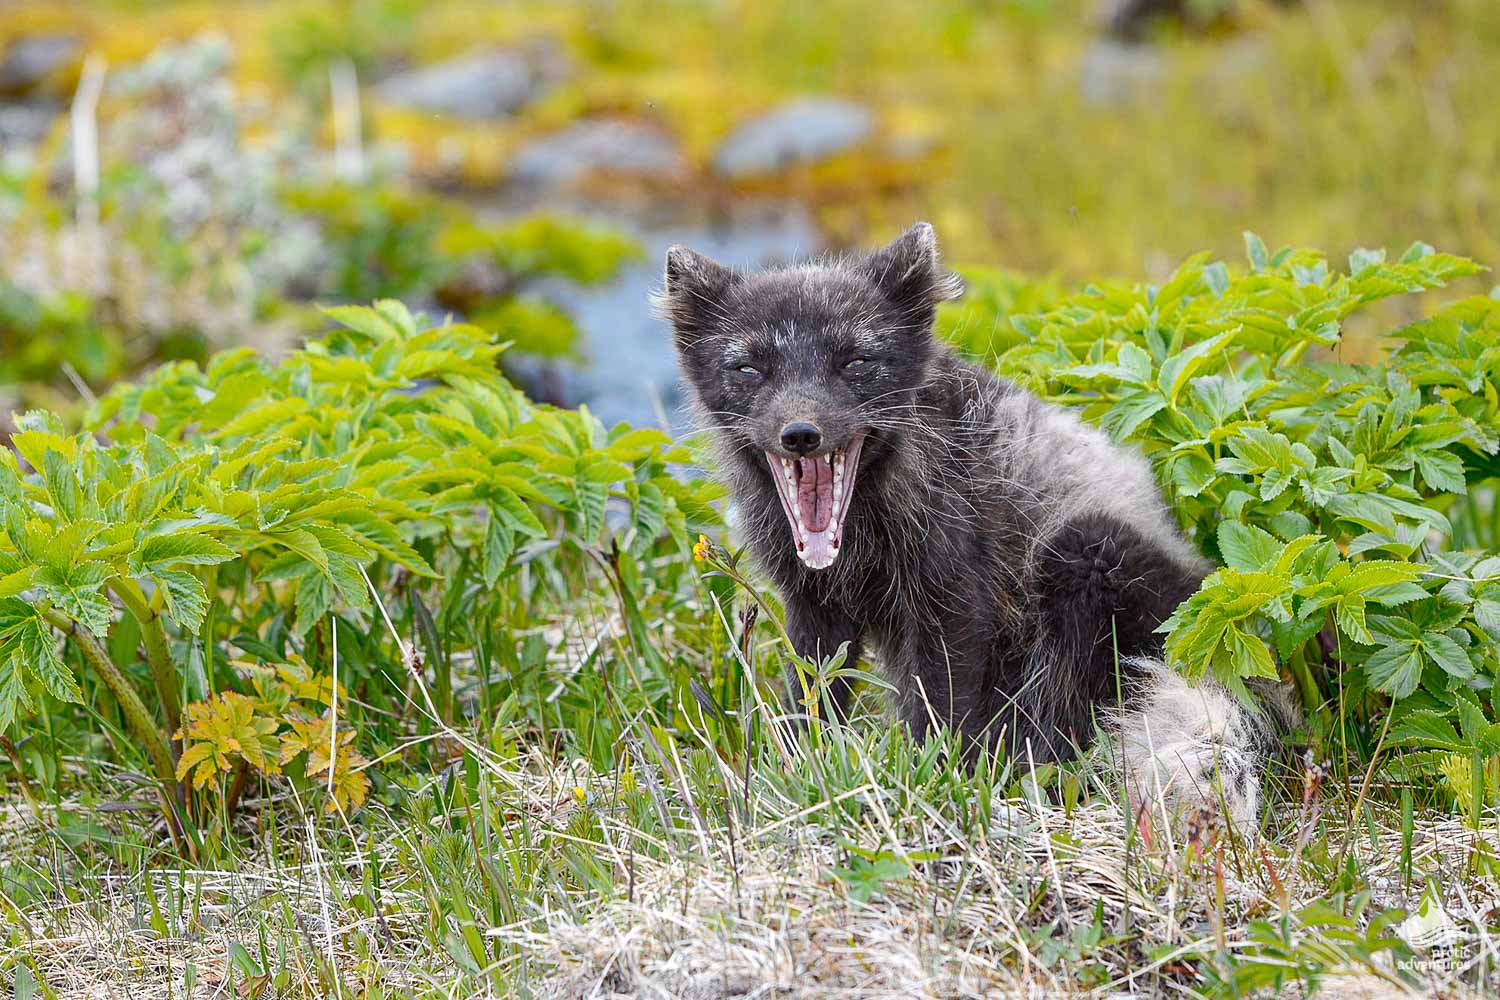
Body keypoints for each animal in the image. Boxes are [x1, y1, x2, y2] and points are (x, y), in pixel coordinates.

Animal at [663, 223, 1284, 833]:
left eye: (855, 361)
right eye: (748, 368)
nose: (800, 433)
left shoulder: (953, 597)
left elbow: (942, 708)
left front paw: (937, 785)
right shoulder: (814, 603)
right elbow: (810, 695)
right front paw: (798, 775)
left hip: (1086, 557)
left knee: (1063, 718)